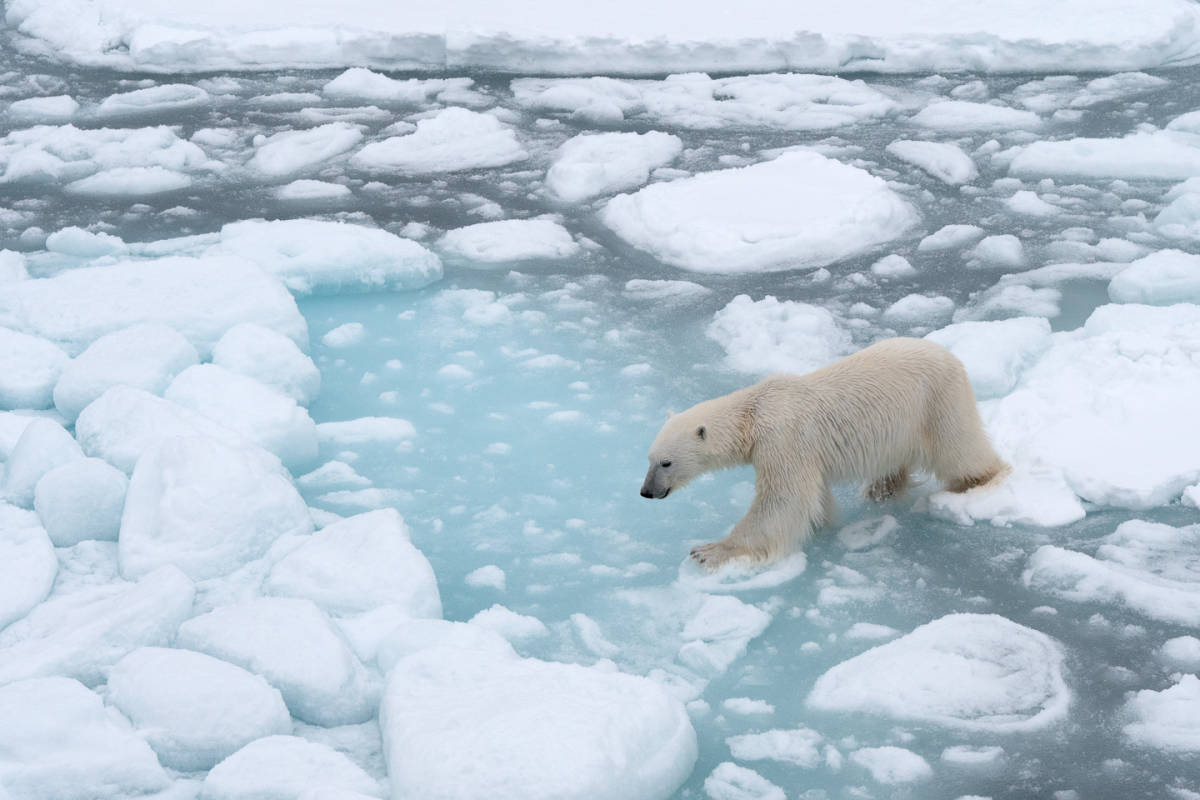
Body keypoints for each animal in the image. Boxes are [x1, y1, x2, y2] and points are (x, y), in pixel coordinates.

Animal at [643, 335, 1008, 568]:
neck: (754, 412)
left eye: (666, 462)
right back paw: (881, 489)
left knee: (959, 449)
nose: (647, 492)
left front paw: (709, 551)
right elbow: (812, 495)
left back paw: (977, 482)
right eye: (649, 459)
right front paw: (822, 523)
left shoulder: (783, 439)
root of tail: (949, 354)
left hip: (937, 400)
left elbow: (782, 499)